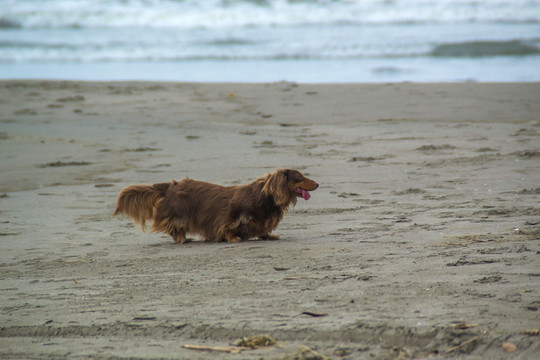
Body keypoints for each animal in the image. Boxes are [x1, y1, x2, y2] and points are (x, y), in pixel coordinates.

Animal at [113, 168, 316, 242]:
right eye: (300, 177)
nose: (318, 184)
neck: (264, 197)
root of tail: (170, 186)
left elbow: (262, 228)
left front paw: (268, 236)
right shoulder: (231, 215)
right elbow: (229, 226)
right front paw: (232, 238)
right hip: (179, 213)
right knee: (175, 227)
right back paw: (183, 239)